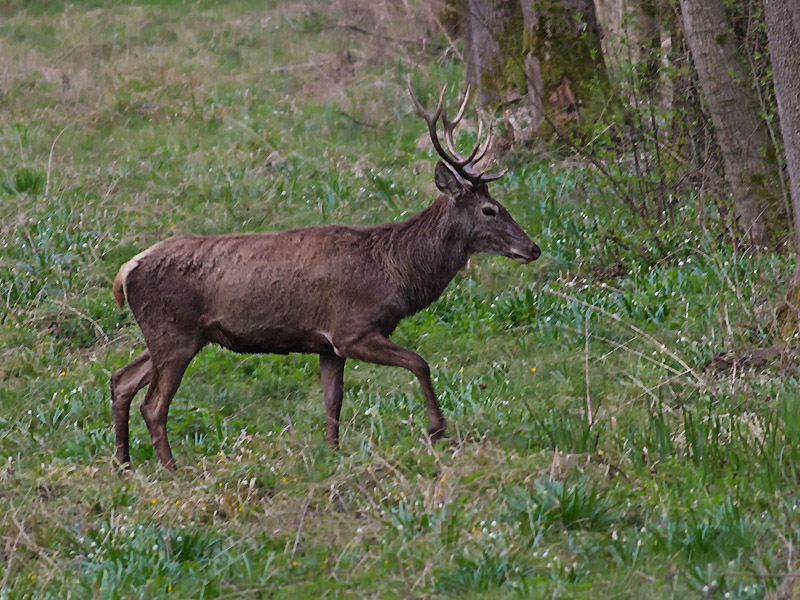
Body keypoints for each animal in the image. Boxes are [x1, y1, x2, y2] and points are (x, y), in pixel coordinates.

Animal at [109, 83, 540, 468]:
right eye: (490, 210)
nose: (533, 248)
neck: (396, 273)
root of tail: (125, 271)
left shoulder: (327, 345)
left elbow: (334, 402)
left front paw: (332, 454)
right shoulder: (352, 330)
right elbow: (420, 362)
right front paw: (437, 430)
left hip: (177, 336)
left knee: (121, 380)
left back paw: (124, 463)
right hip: (175, 334)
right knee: (153, 405)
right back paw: (169, 469)